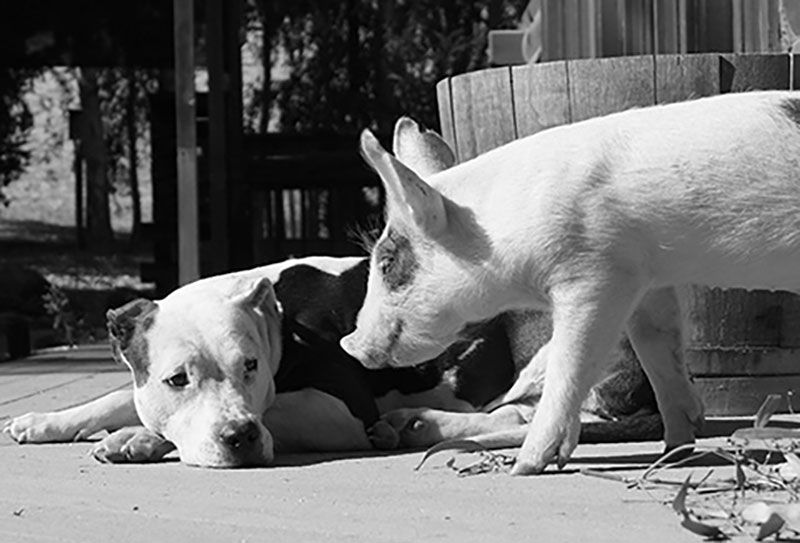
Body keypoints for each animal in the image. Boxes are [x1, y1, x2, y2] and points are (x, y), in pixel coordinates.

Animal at [3, 118, 660, 468]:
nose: (239, 439)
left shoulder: (340, 410)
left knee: (535, 416)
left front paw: (145, 437)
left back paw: (419, 423)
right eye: (176, 379)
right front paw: (54, 420)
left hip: (561, 344)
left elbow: (275, 410)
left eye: (249, 365)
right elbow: (119, 396)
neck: (276, 317)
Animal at [340, 92, 800, 476]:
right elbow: (660, 350)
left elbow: (572, 363)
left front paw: (524, 468)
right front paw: (674, 451)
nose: (349, 344)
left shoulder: (594, 274)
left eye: (387, 263)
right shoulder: (647, 278)